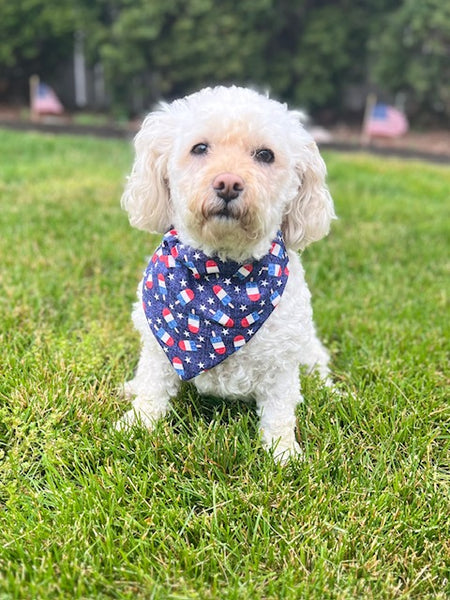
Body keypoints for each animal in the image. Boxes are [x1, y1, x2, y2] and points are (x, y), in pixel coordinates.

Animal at [116, 85, 334, 460]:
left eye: (265, 155)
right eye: (200, 148)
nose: (228, 183)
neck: (220, 275)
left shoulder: (281, 366)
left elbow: (279, 412)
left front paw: (285, 453)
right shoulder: (158, 351)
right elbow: (152, 390)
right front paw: (137, 424)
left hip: (307, 351)